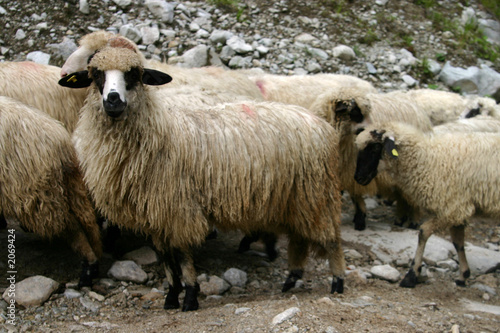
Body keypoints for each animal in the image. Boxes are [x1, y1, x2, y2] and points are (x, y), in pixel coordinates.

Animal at [59, 44, 348, 312]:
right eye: (96, 74)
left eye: (135, 73)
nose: (113, 101)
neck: (159, 133)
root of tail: (320, 123)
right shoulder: (156, 216)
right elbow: (166, 259)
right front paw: (171, 297)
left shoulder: (179, 210)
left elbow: (182, 256)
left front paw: (189, 297)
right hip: (298, 198)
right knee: (300, 238)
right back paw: (290, 280)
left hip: (317, 193)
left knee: (331, 240)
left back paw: (337, 282)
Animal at [354, 120, 500, 286]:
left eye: (375, 148)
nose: (358, 177)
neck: (428, 161)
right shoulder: (457, 208)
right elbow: (458, 241)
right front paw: (463, 275)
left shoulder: (453, 208)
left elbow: (423, 232)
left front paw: (412, 275)